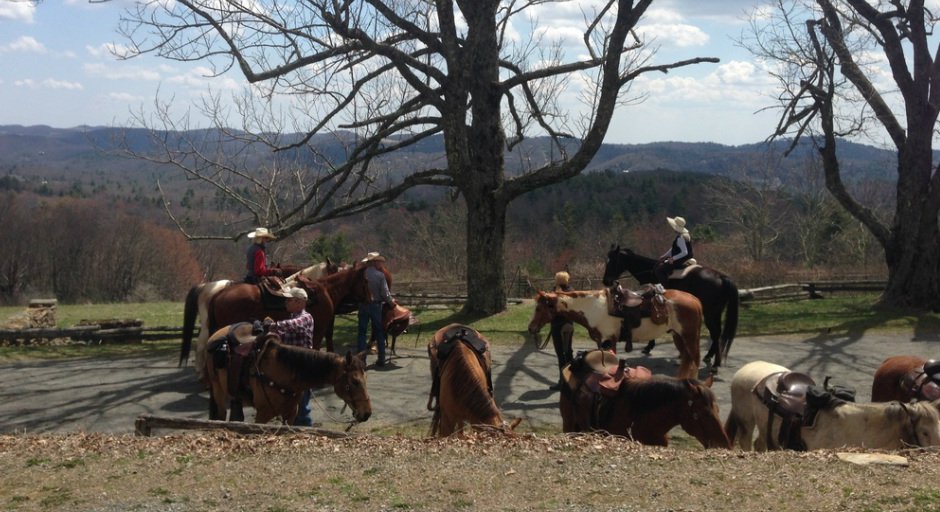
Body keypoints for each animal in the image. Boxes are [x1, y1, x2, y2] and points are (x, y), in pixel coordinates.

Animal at [205, 324, 370, 424]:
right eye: (354, 382)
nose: (367, 413)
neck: (283, 370)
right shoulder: (262, 415)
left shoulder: (290, 414)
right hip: (217, 391)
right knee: (220, 414)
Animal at [524, 290, 700, 378]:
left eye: (539, 308)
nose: (531, 328)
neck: (595, 307)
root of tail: (695, 299)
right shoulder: (601, 342)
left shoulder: (610, 340)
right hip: (678, 336)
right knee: (687, 360)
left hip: (689, 337)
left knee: (695, 361)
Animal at [604, 246, 740, 370]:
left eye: (612, 261)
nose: (605, 281)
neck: (651, 272)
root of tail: (722, 277)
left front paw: (649, 346)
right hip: (715, 313)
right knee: (717, 333)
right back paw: (709, 356)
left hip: (710, 313)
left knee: (715, 333)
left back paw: (715, 363)